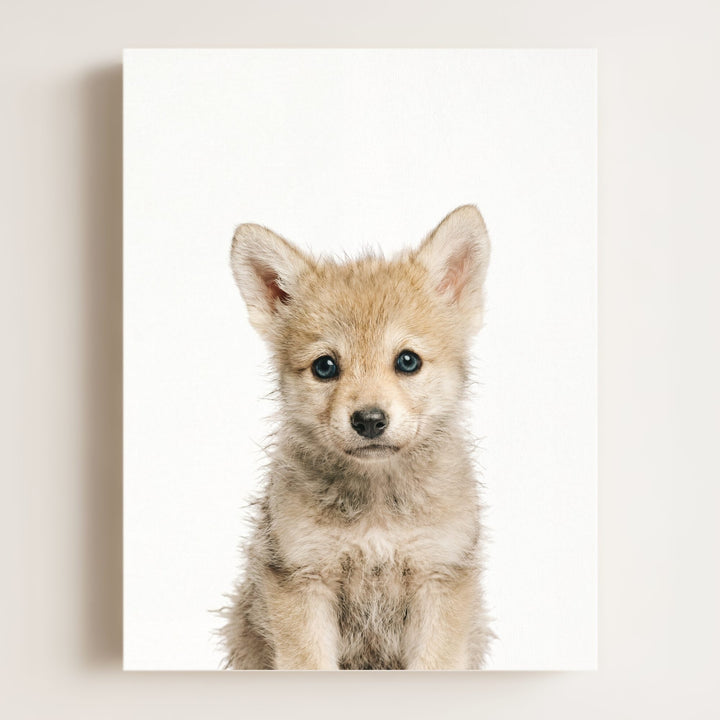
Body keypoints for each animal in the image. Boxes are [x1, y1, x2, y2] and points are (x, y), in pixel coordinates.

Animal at [221, 205, 492, 670]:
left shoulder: (439, 577)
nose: (368, 420)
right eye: (325, 366)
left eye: (407, 361)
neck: (377, 509)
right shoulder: (303, 579)